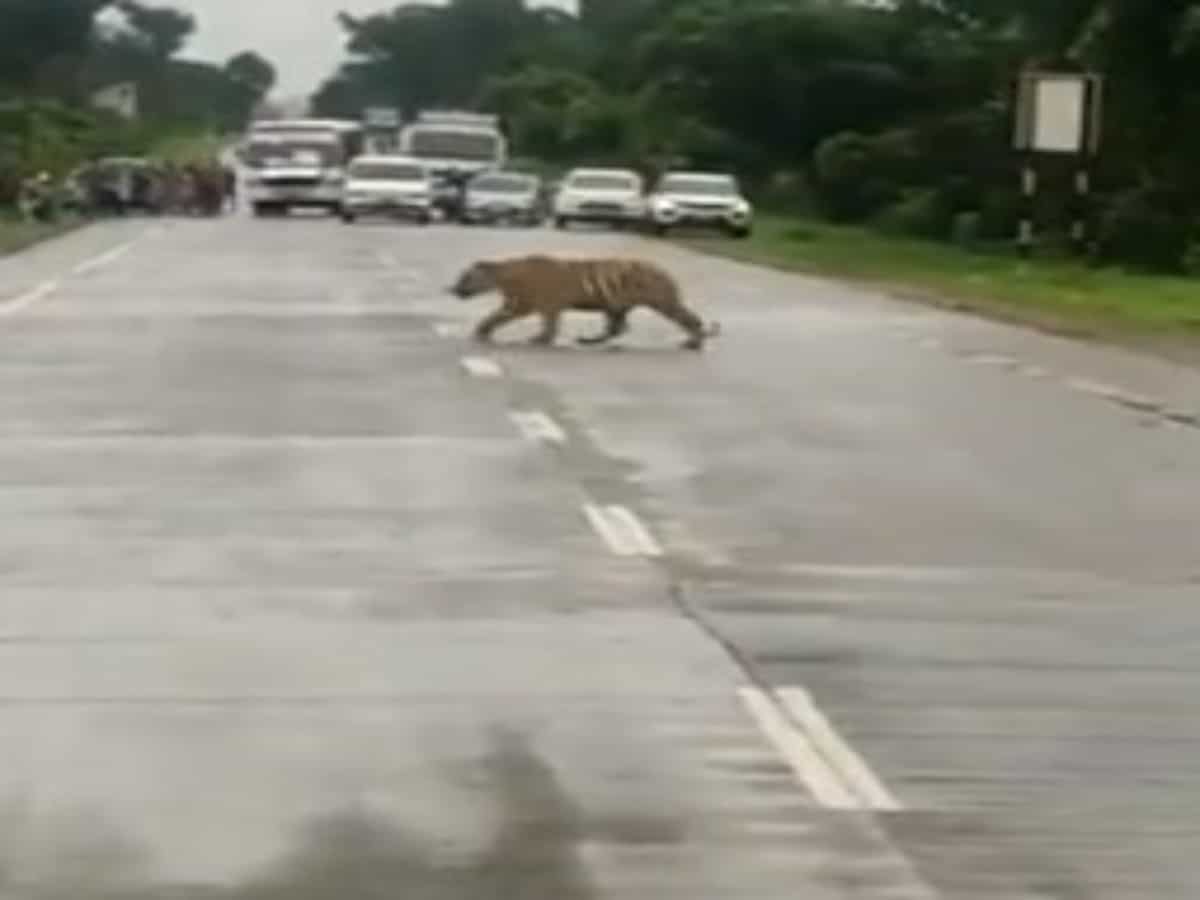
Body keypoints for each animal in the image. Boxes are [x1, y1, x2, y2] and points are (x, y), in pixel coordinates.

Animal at [446, 256, 715, 352]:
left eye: (464, 277)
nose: (454, 289)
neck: (503, 277)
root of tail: (664, 270)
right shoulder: (523, 305)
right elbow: (495, 316)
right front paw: (482, 332)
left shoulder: (528, 305)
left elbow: (497, 317)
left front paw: (540, 339)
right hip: (616, 307)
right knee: (616, 328)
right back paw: (587, 341)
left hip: (662, 301)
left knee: (691, 319)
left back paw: (694, 343)